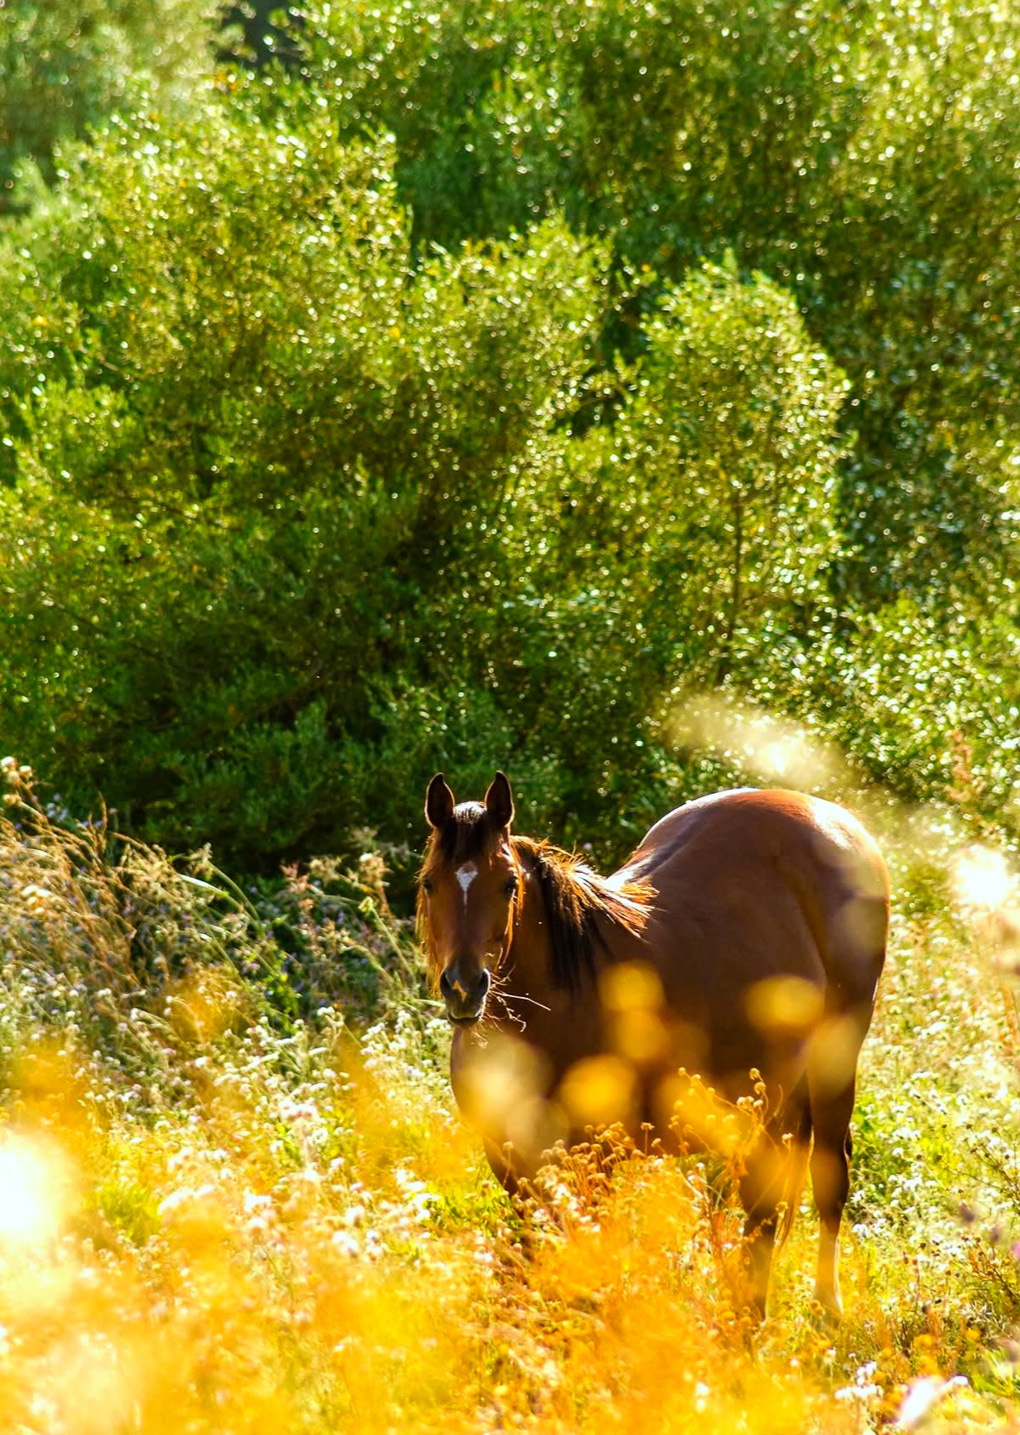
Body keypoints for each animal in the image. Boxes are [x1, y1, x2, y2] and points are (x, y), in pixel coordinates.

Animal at [418, 771, 888, 1320]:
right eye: (430, 882)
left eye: (508, 884)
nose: (464, 987)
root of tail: (834, 818)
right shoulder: (509, 1159)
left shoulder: (595, 1159)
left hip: (836, 1063)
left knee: (829, 1176)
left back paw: (825, 1307)